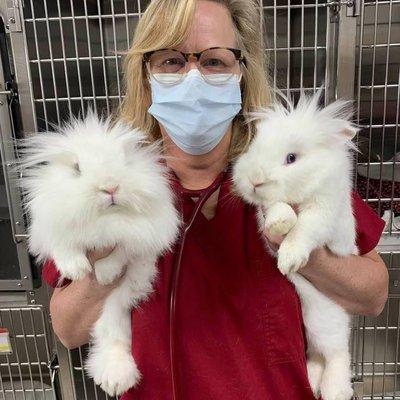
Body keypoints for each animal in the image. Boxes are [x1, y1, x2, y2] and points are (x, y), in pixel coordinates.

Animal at [16, 111, 180, 396]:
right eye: (77, 168)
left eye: (125, 162)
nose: (110, 187)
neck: (106, 221)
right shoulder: (51, 228)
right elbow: (64, 246)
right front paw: (77, 269)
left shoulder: (143, 234)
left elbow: (122, 251)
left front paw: (104, 273)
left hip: (117, 300)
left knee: (112, 331)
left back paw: (115, 377)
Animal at [233, 92, 358, 400]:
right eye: (255, 148)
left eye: (291, 158)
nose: (254, 180)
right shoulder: (269, 205)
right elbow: (277, 208)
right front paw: (279, 223)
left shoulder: (324, 212)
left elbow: (305, 229)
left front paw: (289, 259)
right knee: (318, 355)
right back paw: (313, 381)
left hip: (326, 321)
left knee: (338, 353)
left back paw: (335, 390)